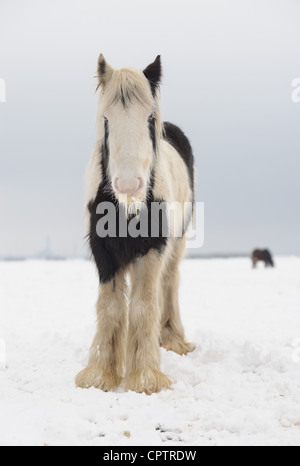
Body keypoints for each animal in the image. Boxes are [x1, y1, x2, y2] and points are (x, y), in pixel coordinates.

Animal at [75, 54, 195, 394]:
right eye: (106, 119)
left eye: (150, 117)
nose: (129, 185)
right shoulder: (103, 251)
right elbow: (111, 306)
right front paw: (101, 373)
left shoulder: (153, 249)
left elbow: (143, 306)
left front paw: (145, 377)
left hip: (177, 244)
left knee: (169, 283)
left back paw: (172, 339)